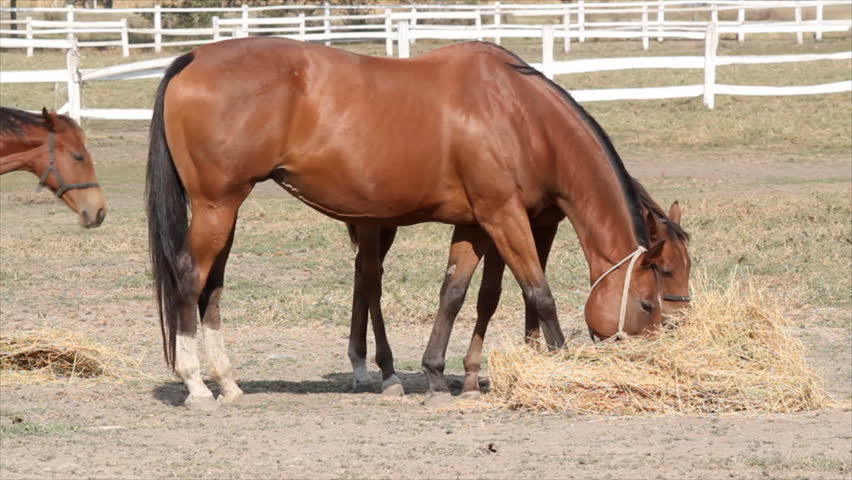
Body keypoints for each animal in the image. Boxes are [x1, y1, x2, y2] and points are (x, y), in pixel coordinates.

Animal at [346, 179, 691, 402]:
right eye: (664, 270)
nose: (679, 319)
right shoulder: (500, 226)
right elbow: (490, 295)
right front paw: (472, 377)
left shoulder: (542, 225)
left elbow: (526, 292)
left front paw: (531, 353)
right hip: (371, 222)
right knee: (370, 278)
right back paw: (380, 369)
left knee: (361, 273)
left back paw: (360, 362)